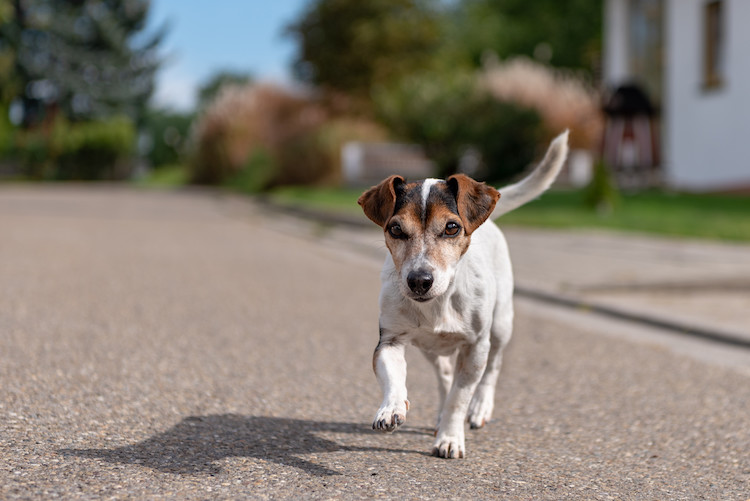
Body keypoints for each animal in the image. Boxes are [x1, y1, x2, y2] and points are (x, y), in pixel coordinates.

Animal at [358, 132, 568, 458]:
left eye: (452, 227)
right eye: (395, 229)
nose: (419, 281)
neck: (439, 304)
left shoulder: (475, 347)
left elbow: (460, 397)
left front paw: (450, 438)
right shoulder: (389, 340)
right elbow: (395, 377)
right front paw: (391, 408)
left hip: (500, 326)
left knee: (493, 367)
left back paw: (480, 407)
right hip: (430, 348)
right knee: (444, 376)